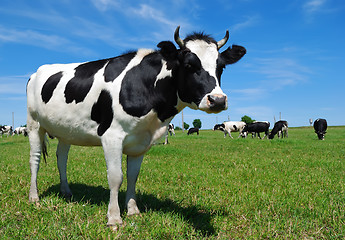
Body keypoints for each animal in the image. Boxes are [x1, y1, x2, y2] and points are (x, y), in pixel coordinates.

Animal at [26, 26, 245, 229]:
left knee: (61, 159)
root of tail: (37, 71)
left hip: (66, 131)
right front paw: (114, 218)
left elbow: (132, 177)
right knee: (34, 160)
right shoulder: (111, 136)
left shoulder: (140, 142)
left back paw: (66, 192)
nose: (218, 100)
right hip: (34, 124)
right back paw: (34, 197)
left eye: (221, 67)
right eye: (189, 65)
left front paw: (133, 211)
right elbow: (116, 177)